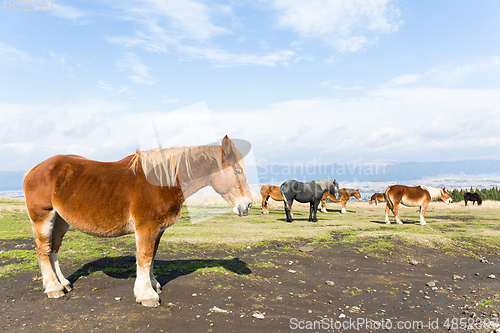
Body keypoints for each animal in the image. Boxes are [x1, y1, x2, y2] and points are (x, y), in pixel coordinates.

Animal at [22, 135, 254, 306]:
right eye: (237, 170)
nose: (248, 205)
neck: (163, 181)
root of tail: (33, 170)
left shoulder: (158, 229)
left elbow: (151, 257)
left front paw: (153, 284)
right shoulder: (146, 227)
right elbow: (144, 257)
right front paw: (147, 295)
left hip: (61, 221)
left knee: (53, 249)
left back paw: (63, 283)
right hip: (43, 217)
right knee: (43, 250)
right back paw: (53, 288)